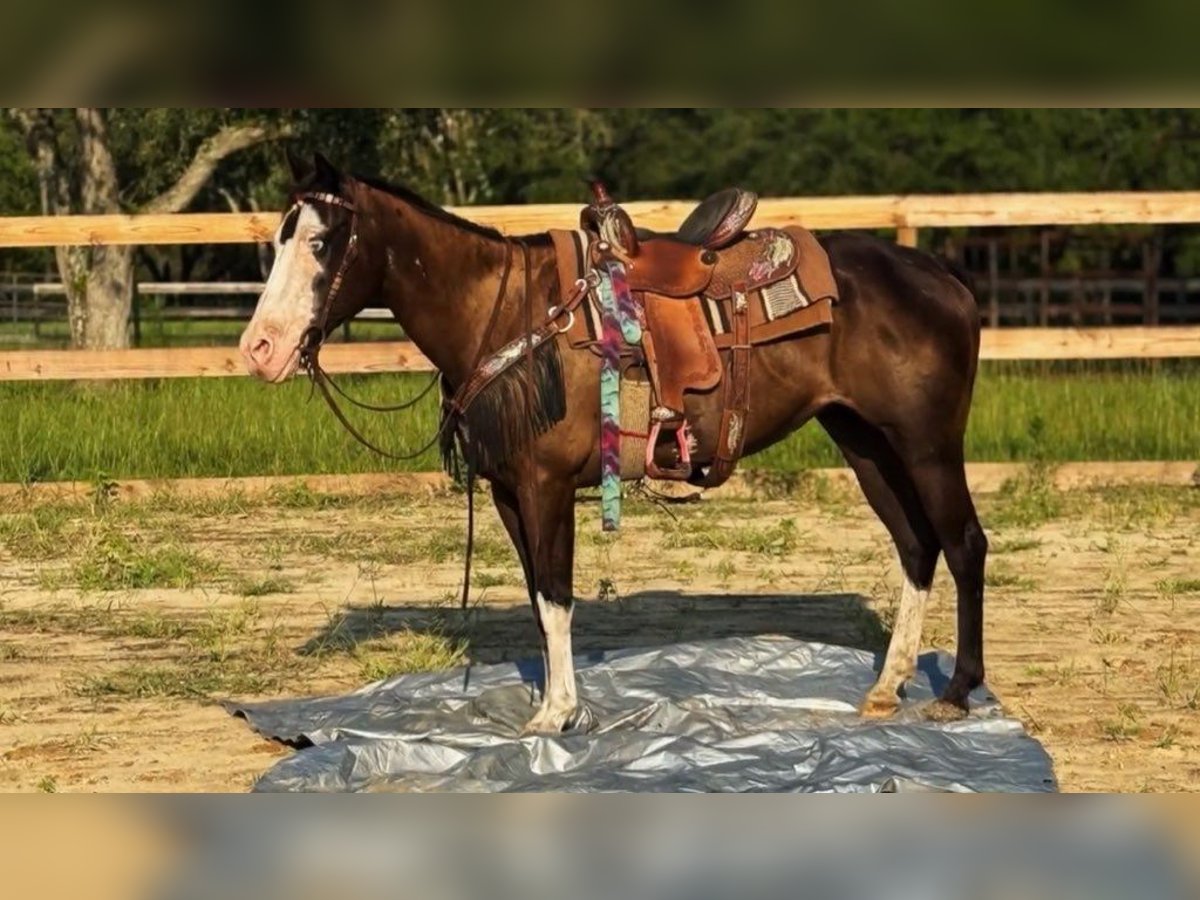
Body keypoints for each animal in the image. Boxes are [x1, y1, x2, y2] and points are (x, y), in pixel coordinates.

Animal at [240, 152, 988, 735]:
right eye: (279, 238)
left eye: (320, 243)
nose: (259, 349)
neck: (504, 315)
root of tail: (941, 275)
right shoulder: (510, 492)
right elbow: (538, 598)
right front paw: (553, 702)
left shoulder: (545, 487)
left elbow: (556, 594)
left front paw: (556, 715)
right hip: (865, 443)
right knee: (916, 546)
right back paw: (888, 688)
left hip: (927, 446)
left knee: (962, 544)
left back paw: (955, 693)